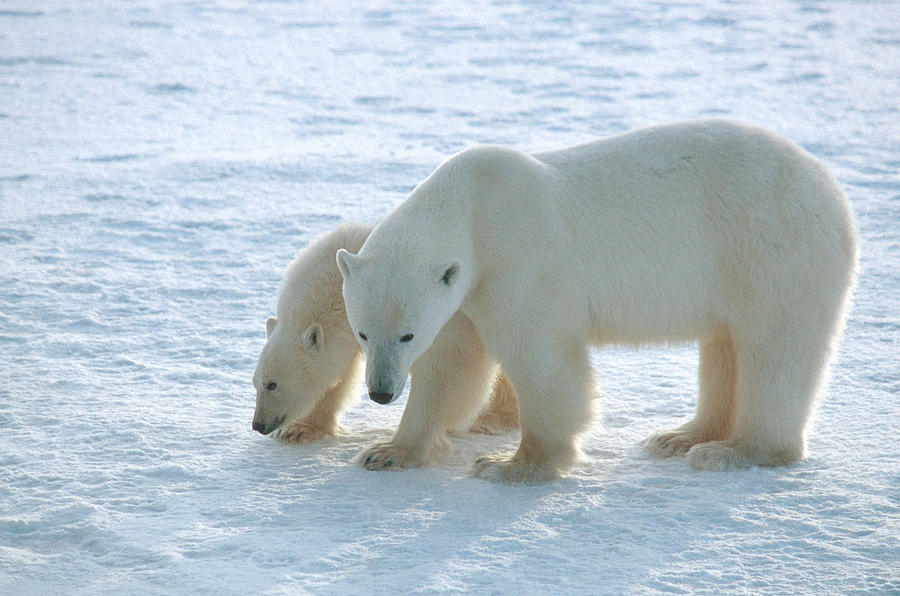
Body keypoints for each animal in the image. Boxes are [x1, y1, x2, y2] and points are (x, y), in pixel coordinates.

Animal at [250, 221, 516, 468]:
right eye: (255, 383)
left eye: (272, 384)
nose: (258, 424)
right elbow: (340, 376)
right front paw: (299, 429)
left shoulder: (439, 322)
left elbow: (448, 367)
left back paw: (491, 418)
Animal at [338, 118, 856, 482]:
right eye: (362, 333)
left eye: (407, 335)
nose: (380, 392)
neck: (473, 207)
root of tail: (828, 185)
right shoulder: (465, 292)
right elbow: (451, 366)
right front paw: (388, 452)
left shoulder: (521, 261)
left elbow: (541, 359)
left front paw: (510, 465)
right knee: (725, 347)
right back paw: (680, 436)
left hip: (773, 249)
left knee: (774, 350)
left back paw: (736, 450)